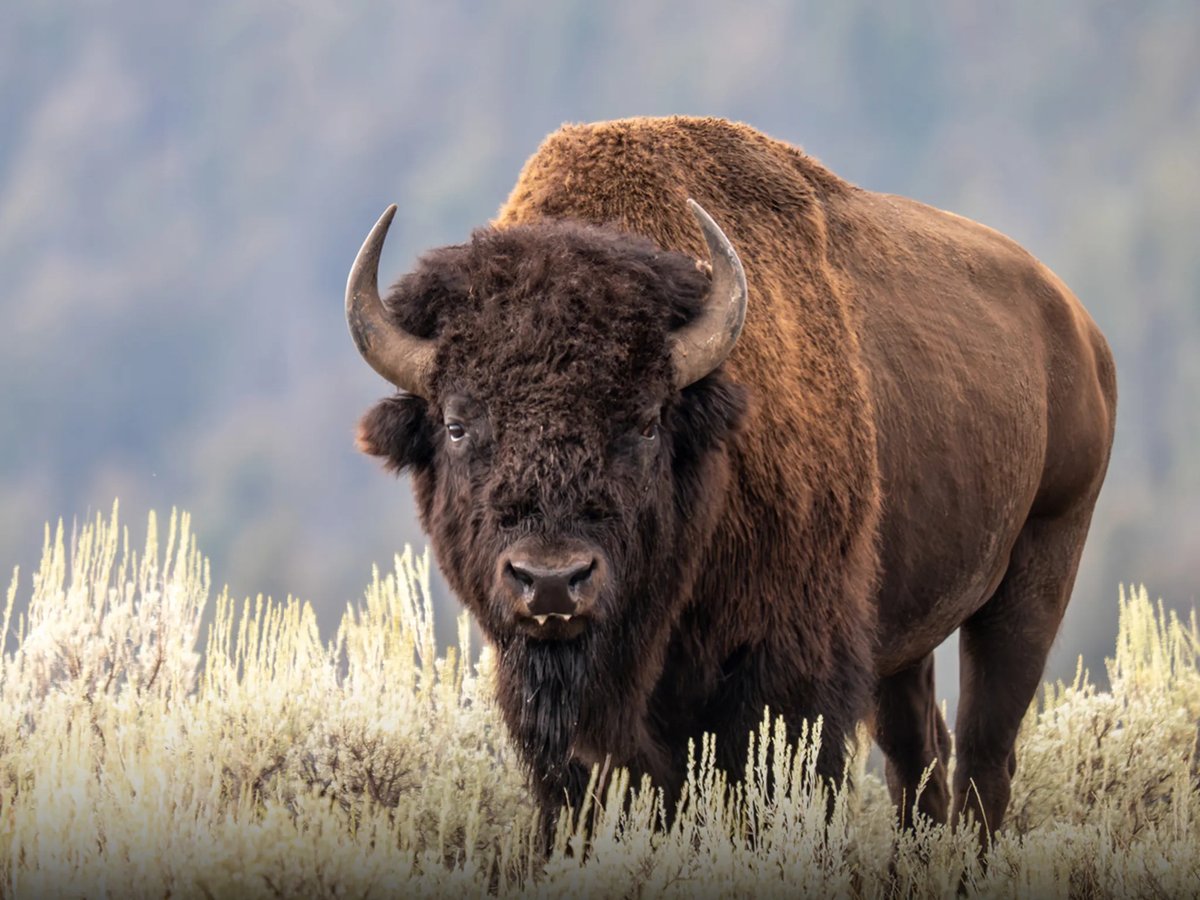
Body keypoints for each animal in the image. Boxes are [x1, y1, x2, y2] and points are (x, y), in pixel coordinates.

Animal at [348, 117, 1116, 841]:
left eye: (647, 423)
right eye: (456, 425)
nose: (552, 582)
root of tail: (1079, 329)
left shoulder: (788, 675)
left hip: (1038, 569)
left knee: (986, 758)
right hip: (906, 635)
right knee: (917, 757)